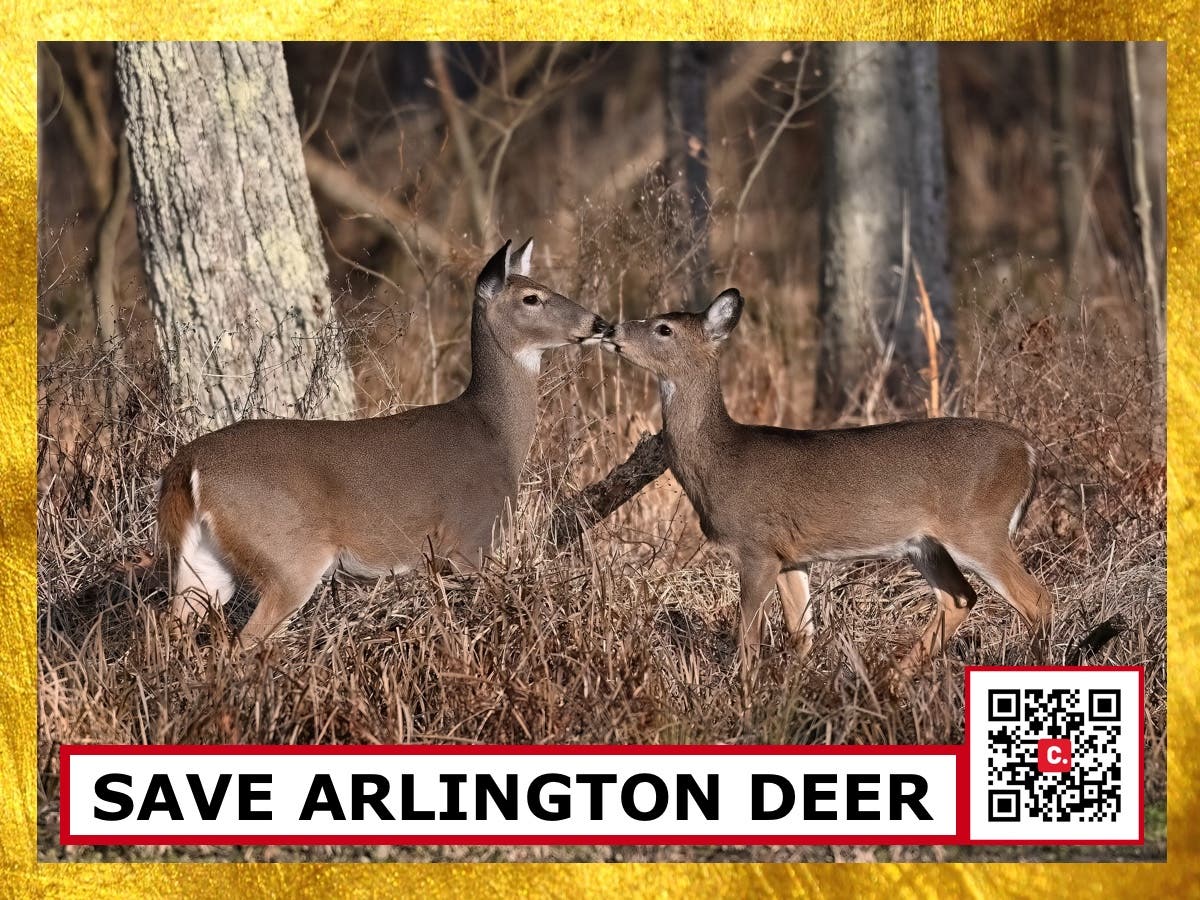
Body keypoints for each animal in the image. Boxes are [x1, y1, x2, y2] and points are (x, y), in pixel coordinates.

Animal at [157, 238, 610, 645]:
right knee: (246, 641)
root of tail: (189, 464)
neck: (494, 433)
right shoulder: (471, 539)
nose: (599, 323)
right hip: (288, 555)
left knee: (170, 632)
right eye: (532, 297)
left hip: (204, 561)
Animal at [602, 288, 1052, 685]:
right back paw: (888, 683)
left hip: (978, 527)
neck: (721, 460)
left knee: (1037, 601)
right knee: (959, 598)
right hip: (925, 544)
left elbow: (748, 637)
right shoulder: (790, 556)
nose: (612, 330)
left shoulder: (756, 546)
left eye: (663, 328)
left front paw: (744, 695)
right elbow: (802, 634)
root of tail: (1029, 450)